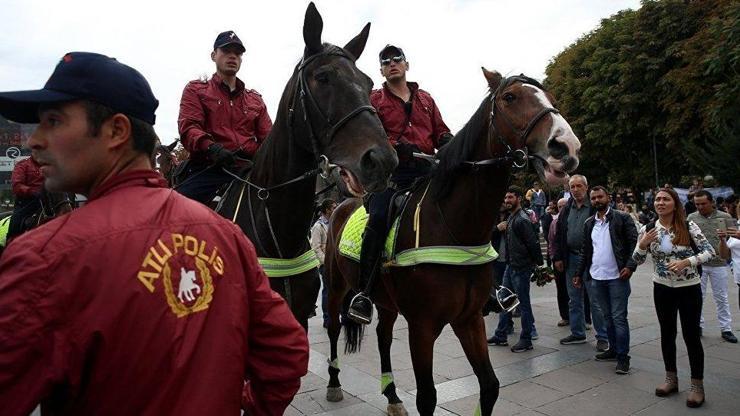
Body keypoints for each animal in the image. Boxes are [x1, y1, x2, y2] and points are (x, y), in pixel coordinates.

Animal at [326, 70, 580, 414]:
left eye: (552, 99)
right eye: (510, 97)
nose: (566, 146)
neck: (454, 224)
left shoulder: (469, 319)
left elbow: (490, 386)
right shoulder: (421, 327)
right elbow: (427, 397)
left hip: (384, 299)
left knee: (382, 335)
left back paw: (392, 396)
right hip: (335, 284)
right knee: (333, 327)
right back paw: (334, 384)